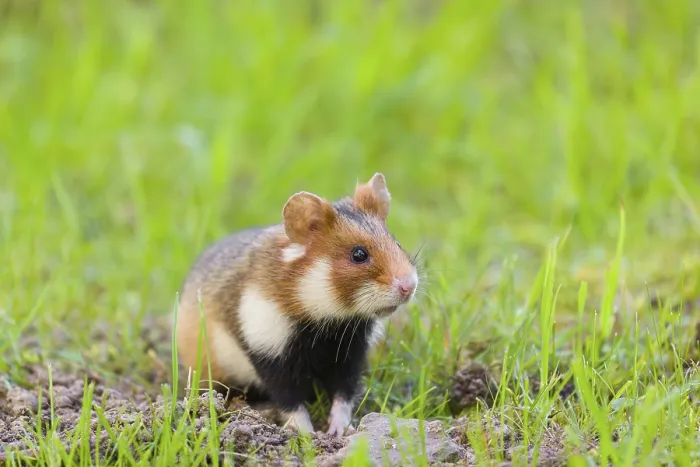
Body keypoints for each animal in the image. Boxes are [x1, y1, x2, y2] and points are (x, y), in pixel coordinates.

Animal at [175, 173, 419, 437]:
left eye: (396, 243)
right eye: (359, 254)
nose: (410, 287)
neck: (326, 316)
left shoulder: (351, 352)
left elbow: (343, 394)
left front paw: (338, 431)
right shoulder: (269, 351)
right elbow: (290, 401)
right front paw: (308, 436)